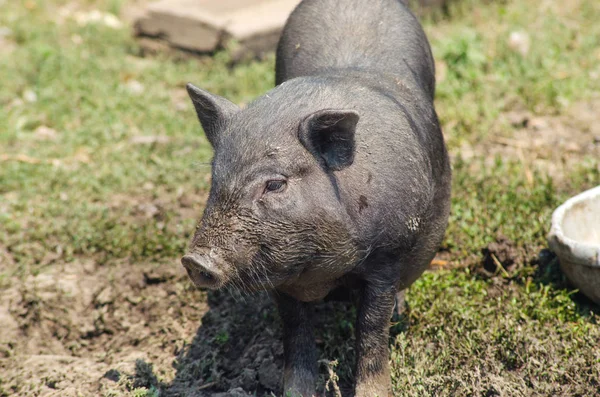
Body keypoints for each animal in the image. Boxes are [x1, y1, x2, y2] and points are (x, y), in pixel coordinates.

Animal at [180, 0, 452, 394]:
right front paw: (297, 390)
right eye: (215, 177)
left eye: (275, 184)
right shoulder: (280, 275)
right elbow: (295, 329)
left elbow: (371, 329)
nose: (195, 260)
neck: (321, 269)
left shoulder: (388, 254)